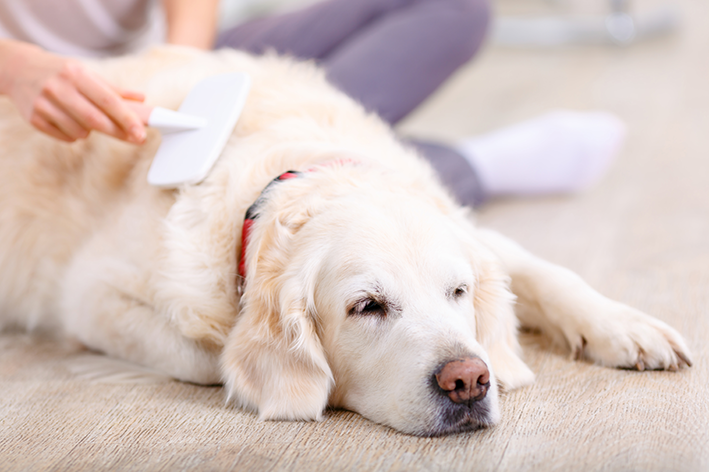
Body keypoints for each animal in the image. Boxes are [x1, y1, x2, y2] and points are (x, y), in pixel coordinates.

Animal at [0, 47, 688, 436]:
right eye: (368, 307)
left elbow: (544, 273)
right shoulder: (89, 296)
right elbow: (209, 357)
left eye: (459, 292)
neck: (295, 172)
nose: (469, 380)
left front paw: (626, 327)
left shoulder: (474, 234)